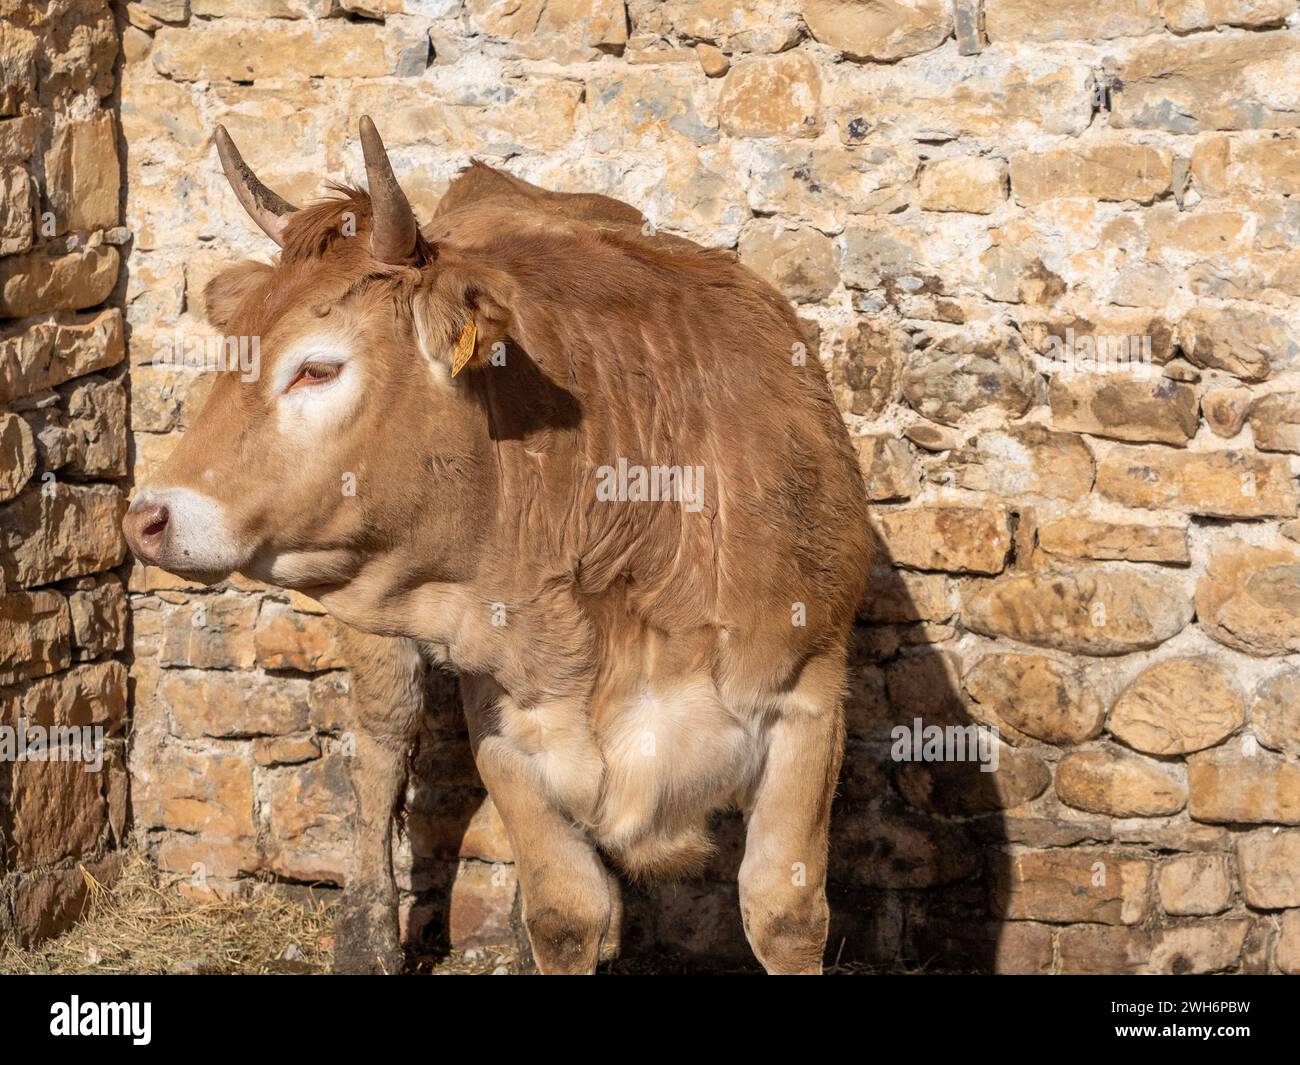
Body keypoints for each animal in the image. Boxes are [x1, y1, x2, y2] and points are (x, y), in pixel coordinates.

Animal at [126, 118, 868, 972]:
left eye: (316, 367)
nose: (146, 516)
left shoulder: (810, 696)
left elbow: (783, 911)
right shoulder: (510, 729)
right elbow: (566, 912)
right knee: (381, 747)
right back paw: (366, 935)